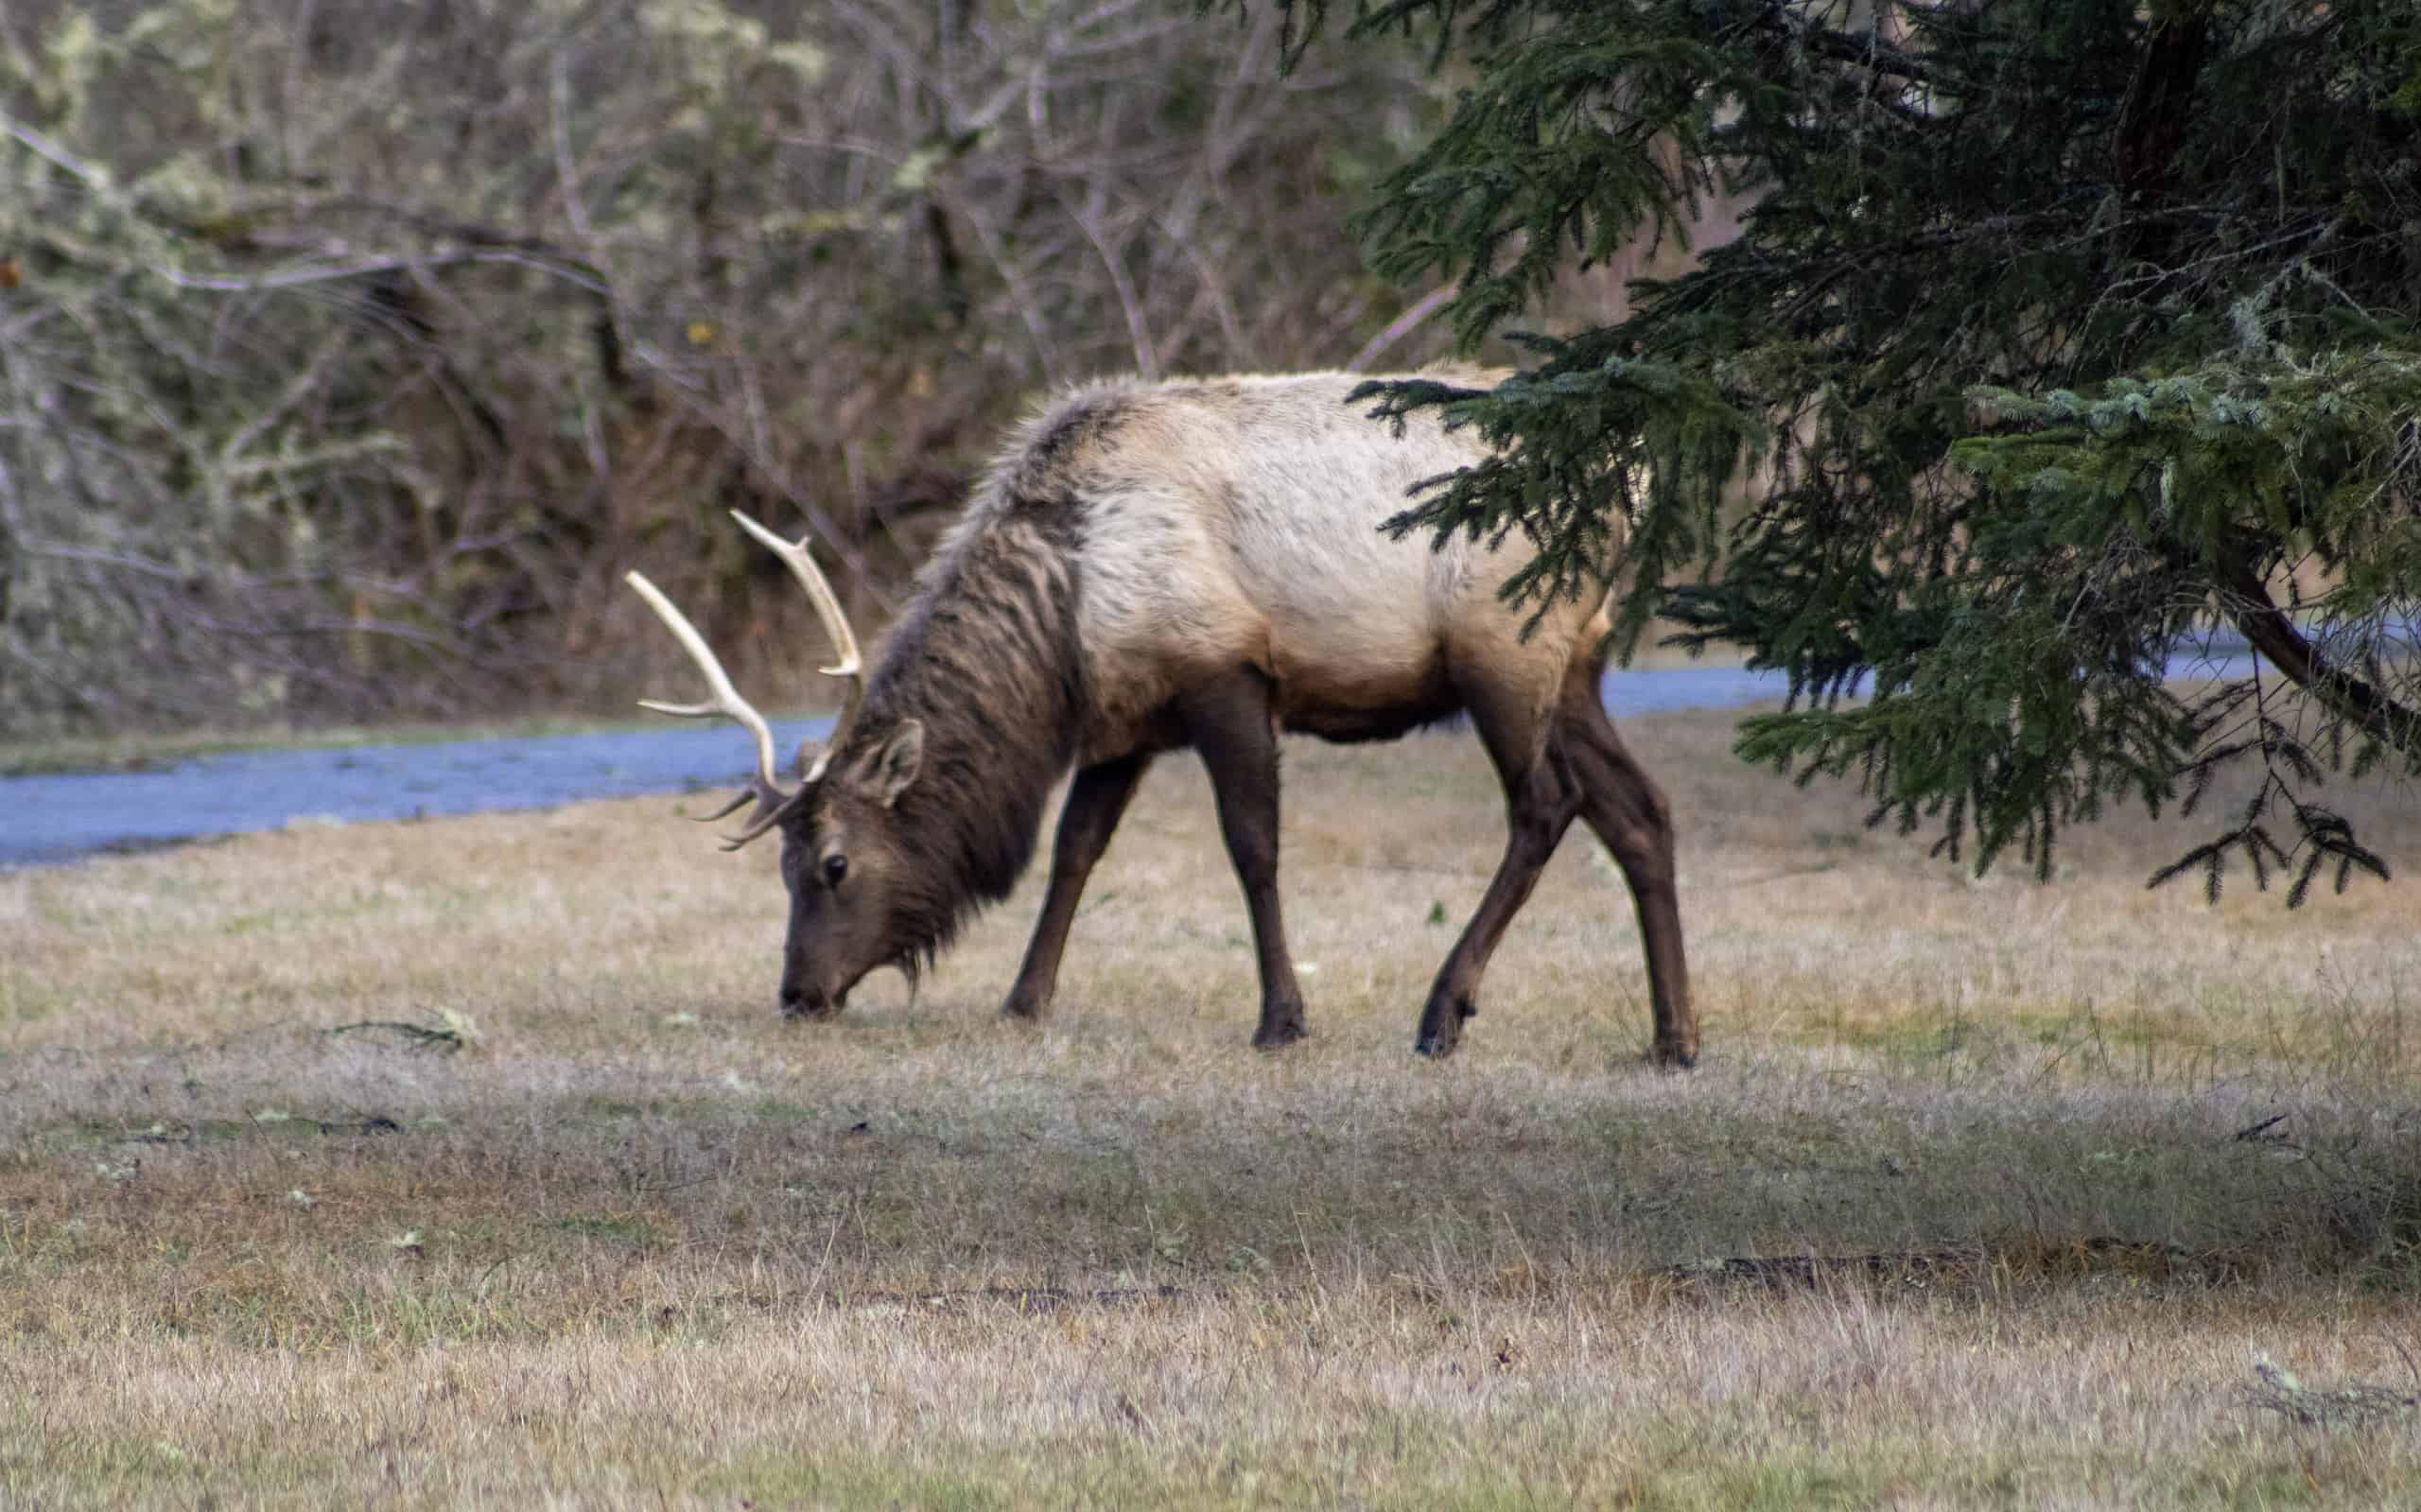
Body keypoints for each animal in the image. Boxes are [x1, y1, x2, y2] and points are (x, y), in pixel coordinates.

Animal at [625, 369, 1695, 1063]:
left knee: (1547, 805)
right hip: (1577, 662)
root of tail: (1635, 473)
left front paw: (1281, 1019)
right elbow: (1074, 850)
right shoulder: (1123, 718)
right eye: (780, 862)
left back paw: (1443, 1012)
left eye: (834, 863)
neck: (1061, 627)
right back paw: (1674, 1035)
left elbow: (1252, 846)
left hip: (1503, 645)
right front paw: (1023, 1002)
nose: (797, 993)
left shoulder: (1225, 670)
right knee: (1640, 811)